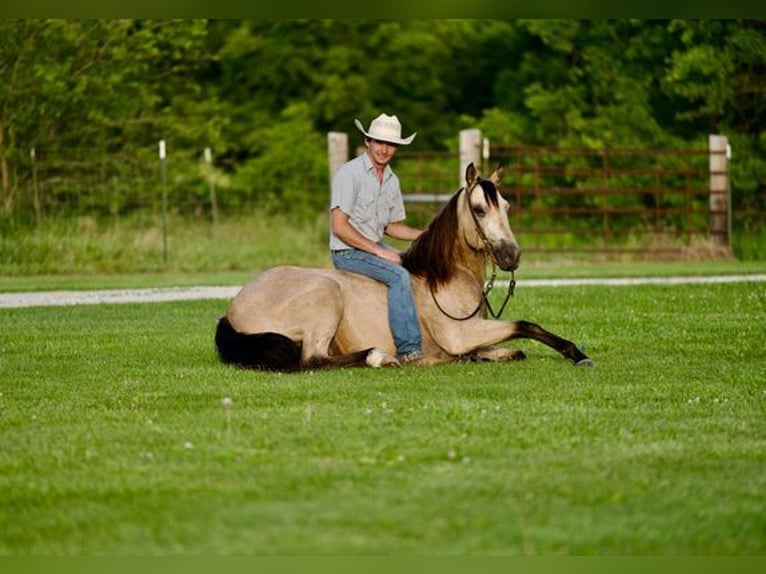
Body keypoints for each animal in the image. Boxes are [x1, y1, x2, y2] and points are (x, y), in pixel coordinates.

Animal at [215, 163, 593, 371]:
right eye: (479, 209)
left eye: (508, 206)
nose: (511, 255)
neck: (446, 279)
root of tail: (234, 306)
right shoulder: (461, 334)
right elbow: (525, 326)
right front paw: (576, 354)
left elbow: (514, 350)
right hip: (326, 296)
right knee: (313, 360)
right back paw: (381, 357)